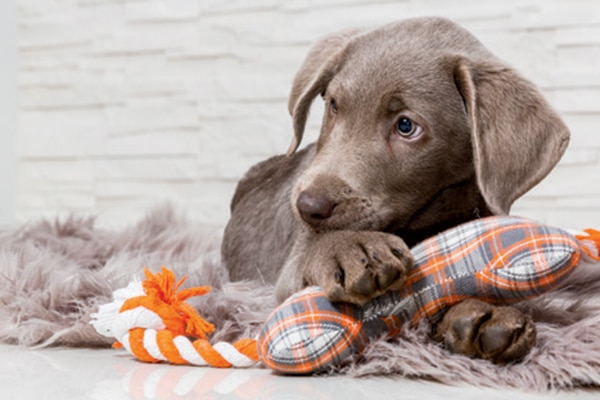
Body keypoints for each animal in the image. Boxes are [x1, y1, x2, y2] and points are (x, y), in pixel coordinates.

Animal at [223, 18, 568, 362]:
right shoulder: (288, 273)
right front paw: (349, 247)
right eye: (333, 106)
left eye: (406, 126)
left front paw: (486, 314)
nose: (308, 206)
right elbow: (314, 248)